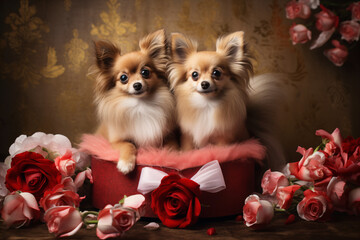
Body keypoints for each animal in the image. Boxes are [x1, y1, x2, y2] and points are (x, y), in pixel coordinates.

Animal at [92, 29, 176, 174]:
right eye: (123, 78)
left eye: (145, 72)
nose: (137, 85)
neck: (141, 105)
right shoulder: (116, 141)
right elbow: (128, 144)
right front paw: (126, 163)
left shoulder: (169, 135)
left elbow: (171, 147)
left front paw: (170, 157)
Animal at [170, 31, 286, 171]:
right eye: (194, 75)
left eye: (216, 73)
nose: (205, 84)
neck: (207, 104)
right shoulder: (188, 137)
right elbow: (188, 151)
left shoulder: (223, 139)